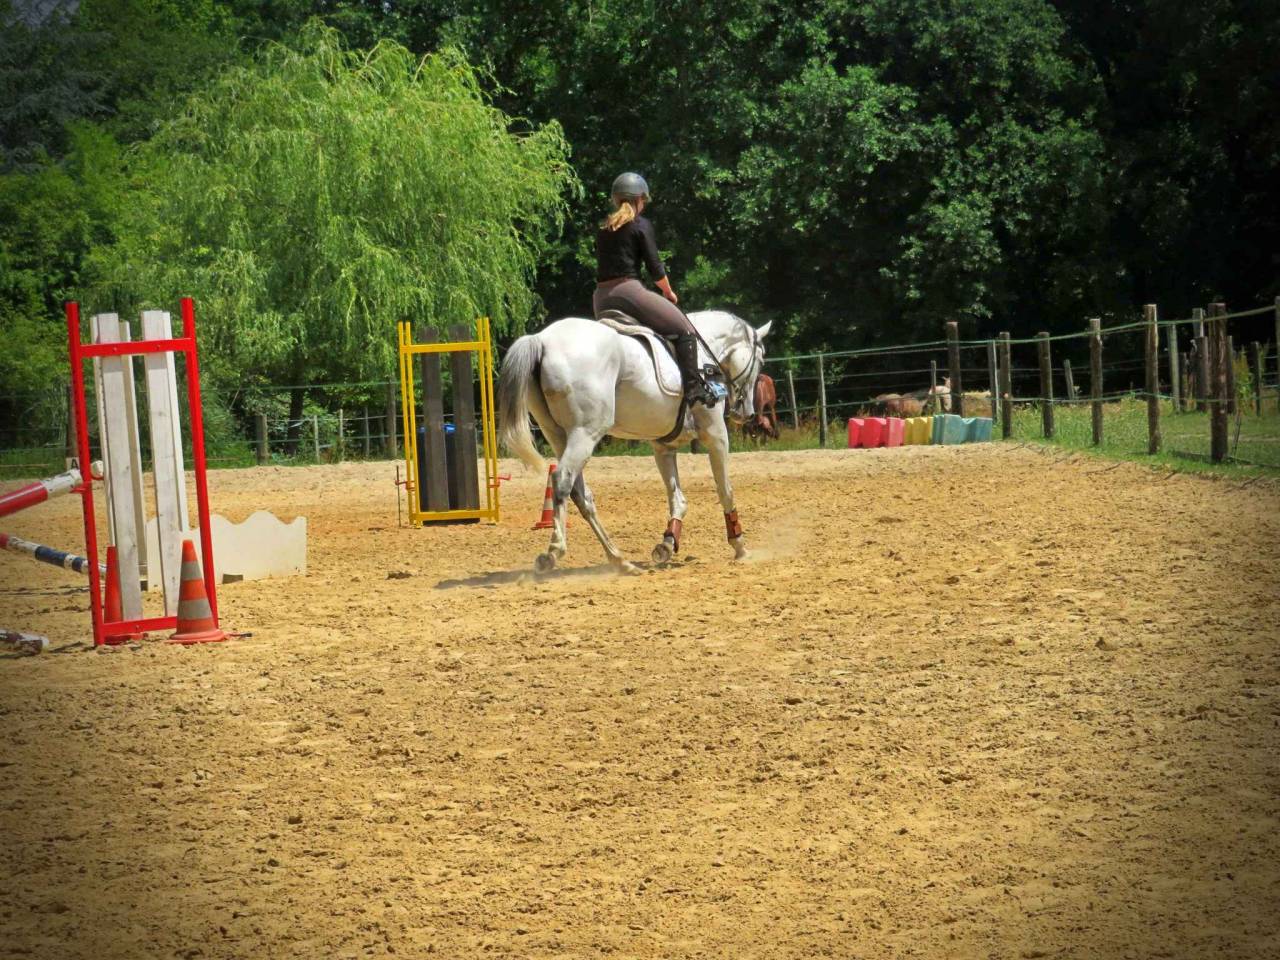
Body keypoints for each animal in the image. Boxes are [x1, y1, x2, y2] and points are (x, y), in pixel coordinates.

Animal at [499, 311, 770, 573]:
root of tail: (542, 340)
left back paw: (619, 559)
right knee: (562, 480)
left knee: (581, 494)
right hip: (585, 433)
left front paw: (667, 544)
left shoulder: (663, 447)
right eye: (761, 360)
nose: (746, 413)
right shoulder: (716, 435)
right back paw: (554, 551)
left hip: (558, 435)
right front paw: (739, 545)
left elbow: (678, 499)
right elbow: (726, 491)